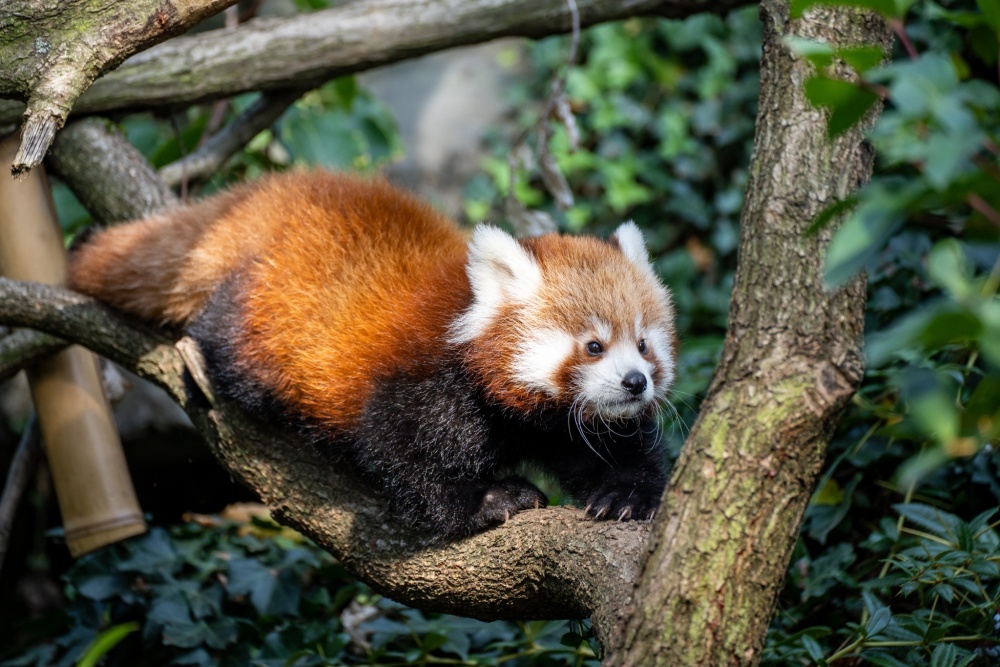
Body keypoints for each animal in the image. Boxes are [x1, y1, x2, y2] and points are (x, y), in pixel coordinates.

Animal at [70, 171, 676, 536]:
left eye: (643, 344)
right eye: (593, 346)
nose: (635, 382)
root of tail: (262, 198)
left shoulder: (558, 422)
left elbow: (605, 450)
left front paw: (624, 493)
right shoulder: (425, 380)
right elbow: (396, 451)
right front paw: (488, 499)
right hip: (257, 320)